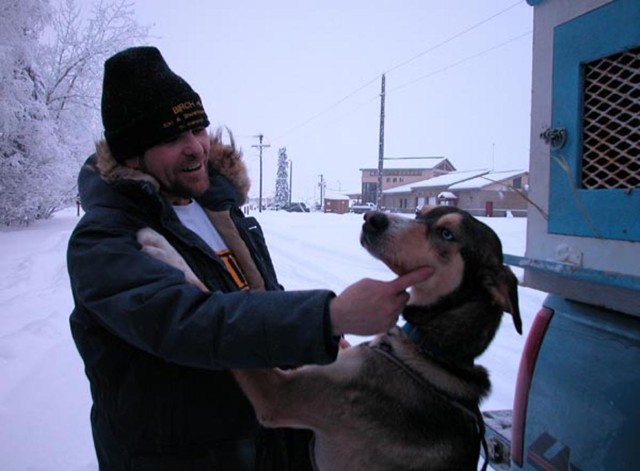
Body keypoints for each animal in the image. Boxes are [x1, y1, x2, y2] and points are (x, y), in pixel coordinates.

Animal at [138, 207, 524, 471]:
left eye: (446, 235)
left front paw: (162, 246)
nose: (372, 217)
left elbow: (205, 288)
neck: (428, 352)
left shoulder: (281, 395)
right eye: (421, 214)